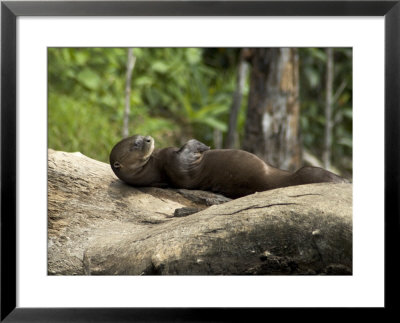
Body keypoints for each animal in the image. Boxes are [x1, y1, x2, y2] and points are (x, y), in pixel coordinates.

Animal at [108, 135, 346, 199]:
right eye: (135, 144)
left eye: (140, 136)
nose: (149, 138)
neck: (155, 166)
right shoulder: (174, 164)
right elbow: (187, 150)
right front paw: (202, 145)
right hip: (305, 172)